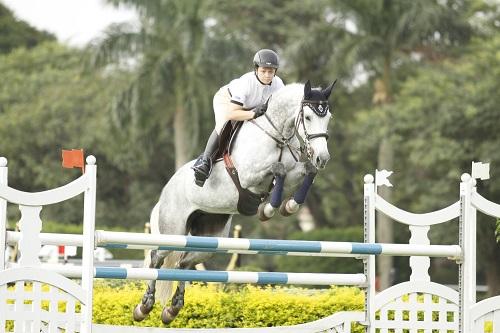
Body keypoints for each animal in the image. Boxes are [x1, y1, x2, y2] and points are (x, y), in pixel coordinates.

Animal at [133, 80, 336, 324]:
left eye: (328, 117)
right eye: (307, 117)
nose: (322, 158)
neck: (276, 135)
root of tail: (165, 191)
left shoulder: (294, 171)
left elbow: (307, 171)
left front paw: (288, 206)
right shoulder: (250, 176)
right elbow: (278, 169)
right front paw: (269, 209)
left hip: (209, 237)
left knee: (184, 262)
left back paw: (172, 310)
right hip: (173, 231)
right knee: (156, 259)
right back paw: (144, 307)